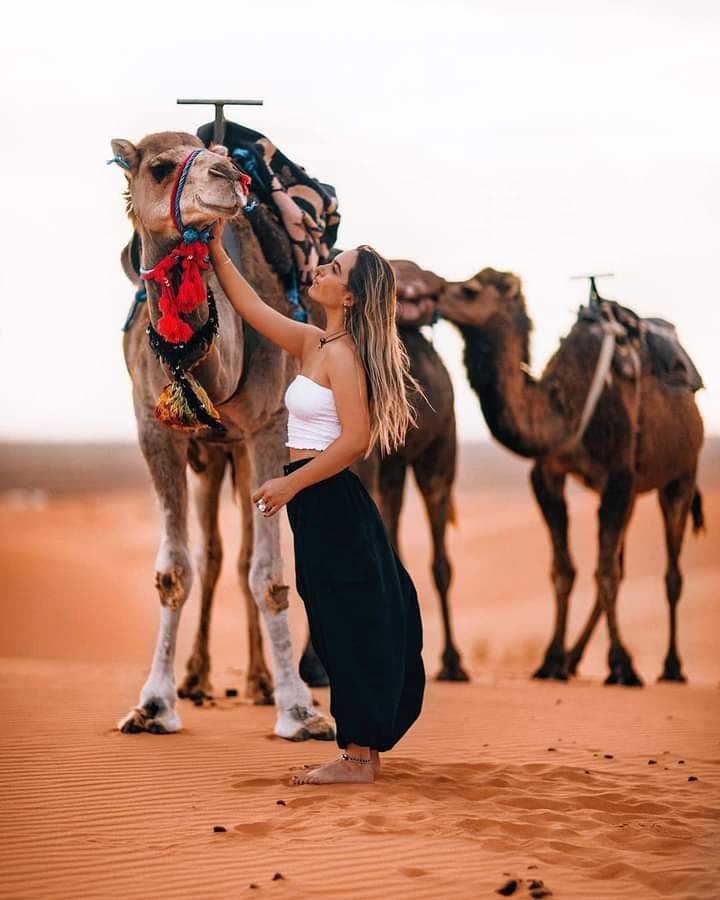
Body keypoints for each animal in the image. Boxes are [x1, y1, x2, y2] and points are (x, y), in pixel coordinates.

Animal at [110, 132, 334, 740]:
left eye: (225, 158)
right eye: (159, 167)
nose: (229, 177)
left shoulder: (268, 426)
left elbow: (270, 576)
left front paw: (299, 710)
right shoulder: (155, 430)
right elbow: (176, 570)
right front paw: (154, 705)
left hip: (243, 446)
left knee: (242, 557)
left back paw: (260, 683)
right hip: (211, 455)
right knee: (212, 556)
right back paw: (198, 678)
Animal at [436, 270, 704, 684]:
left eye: (470, 290)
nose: (433, 294)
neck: (564, 409)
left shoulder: (619, 476)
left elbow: (605, 572)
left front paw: (623, 667)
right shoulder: (549, 474)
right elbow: (566, 570)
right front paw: (552, 661)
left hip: (682, 473)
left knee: (671, 573)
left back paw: (671, 667)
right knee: (620, 565)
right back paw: (576, 658)